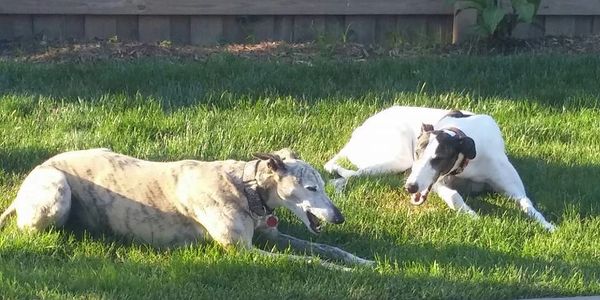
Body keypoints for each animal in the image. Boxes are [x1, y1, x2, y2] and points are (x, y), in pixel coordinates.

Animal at [0, 149, 372, 268]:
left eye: (323, 185)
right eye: (311, 188)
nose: (339, 217)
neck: (244, 187)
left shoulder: (271, 235)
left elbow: (326, 248)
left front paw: (362, 261)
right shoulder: (242, 251)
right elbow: (309, 260)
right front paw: (345, 271)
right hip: (56, 191)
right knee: (31, 230)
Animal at [326, 106, 556, 232]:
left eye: (438, 159)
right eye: (418, 152)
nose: (410, 187)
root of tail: (355, 134)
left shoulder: (512, 187)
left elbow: (527, 203)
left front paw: (546, 224)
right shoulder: (437, 183)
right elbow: (454, 196)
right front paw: (472, 216)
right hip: (397, 159)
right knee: (341, 177)